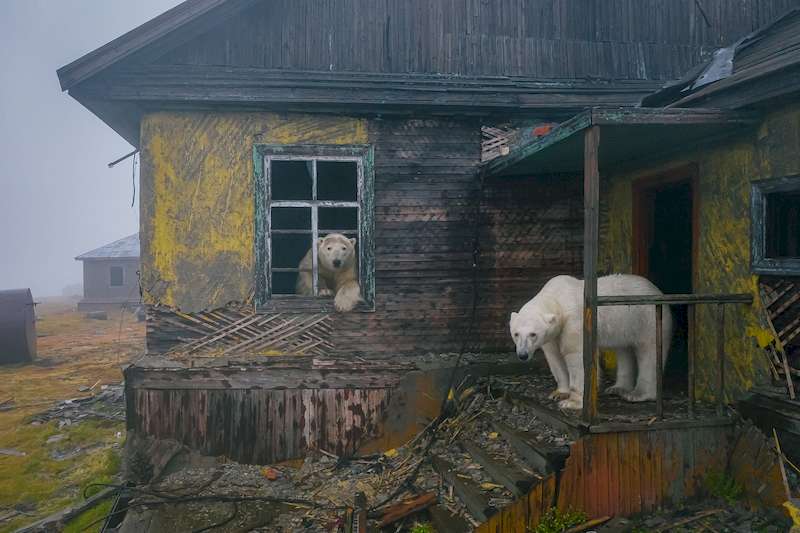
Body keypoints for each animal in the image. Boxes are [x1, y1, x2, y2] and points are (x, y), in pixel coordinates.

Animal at [510, 272, 672, 410]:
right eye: (516, 334)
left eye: (533, 334)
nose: (523, 355)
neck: (557, 298)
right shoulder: (553, 335)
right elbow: (555, 357)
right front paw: (559, 393)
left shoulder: (574, 322)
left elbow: (577, 356)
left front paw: (572, 402)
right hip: (624, 326)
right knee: (624, 350)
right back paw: (617, 388)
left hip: (647, 319)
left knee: (649, 352)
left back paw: (638, 394)